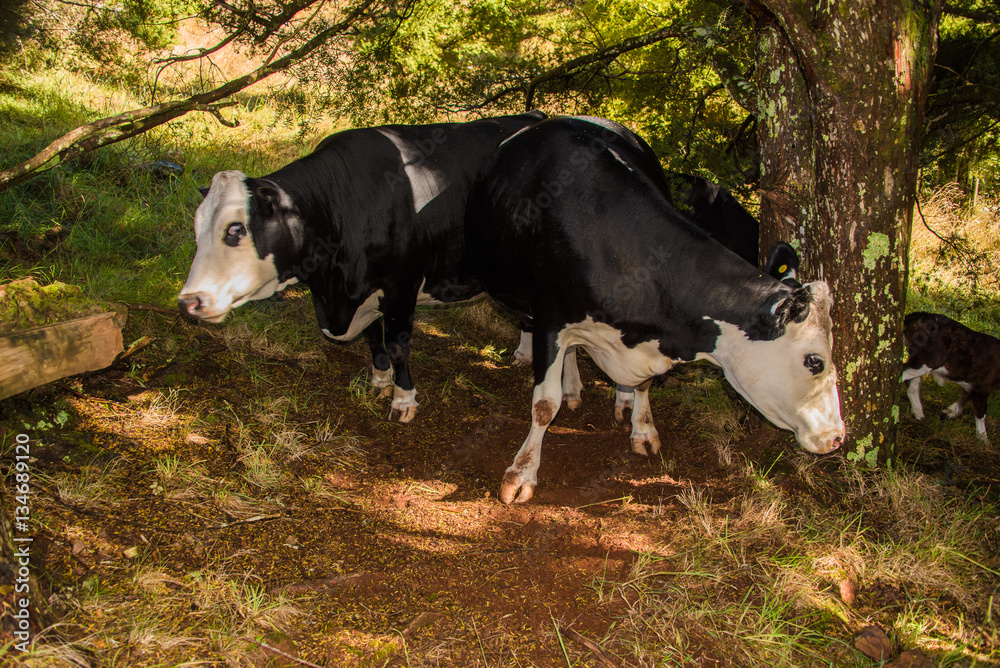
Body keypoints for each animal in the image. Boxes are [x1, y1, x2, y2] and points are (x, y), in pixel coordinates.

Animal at [178, 111, 548, 420]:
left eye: (235, 229)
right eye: (195, 230)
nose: (188, 302)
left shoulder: (401, 285)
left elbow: (397, 345)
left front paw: (403, 399)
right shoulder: (362, 292)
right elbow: (373, 338)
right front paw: (380, 379)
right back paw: (524, 355)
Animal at [464, 116, 840, 500]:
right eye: (815, 361)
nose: (837, 436)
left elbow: (644, 384)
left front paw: (642, 430)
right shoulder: (550, 322)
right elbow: (544, 404)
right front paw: (522, 472)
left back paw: (617, 397)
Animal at [900, 310, 1000, 440]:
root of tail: (917, 315)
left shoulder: (974, 385)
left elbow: (964, 398)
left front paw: (949, 412)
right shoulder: (982, 386)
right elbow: (981, 412)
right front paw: (983, 439)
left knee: (912, 383)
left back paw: (919, 413)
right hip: (929, 360)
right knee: (902, 372)